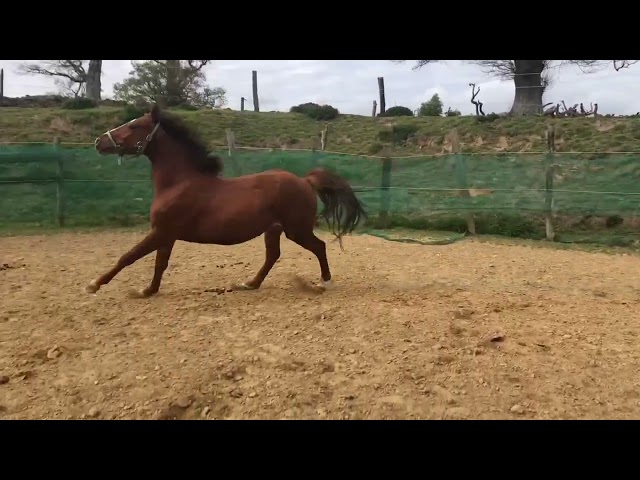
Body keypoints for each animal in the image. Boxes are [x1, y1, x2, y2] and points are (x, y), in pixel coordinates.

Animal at [85, 103, 367, 297]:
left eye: (134, 126)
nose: (99, 142)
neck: (179, 183)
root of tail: (305, 181)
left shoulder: (161, 232)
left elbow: (128, 257)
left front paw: (94, 285)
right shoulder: (166, 235)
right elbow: (159, 264)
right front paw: (148, 290)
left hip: (296, 230)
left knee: (319, 246)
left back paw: (325, 282)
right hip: (273, 229)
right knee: (272, 256)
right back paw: (250, 284)